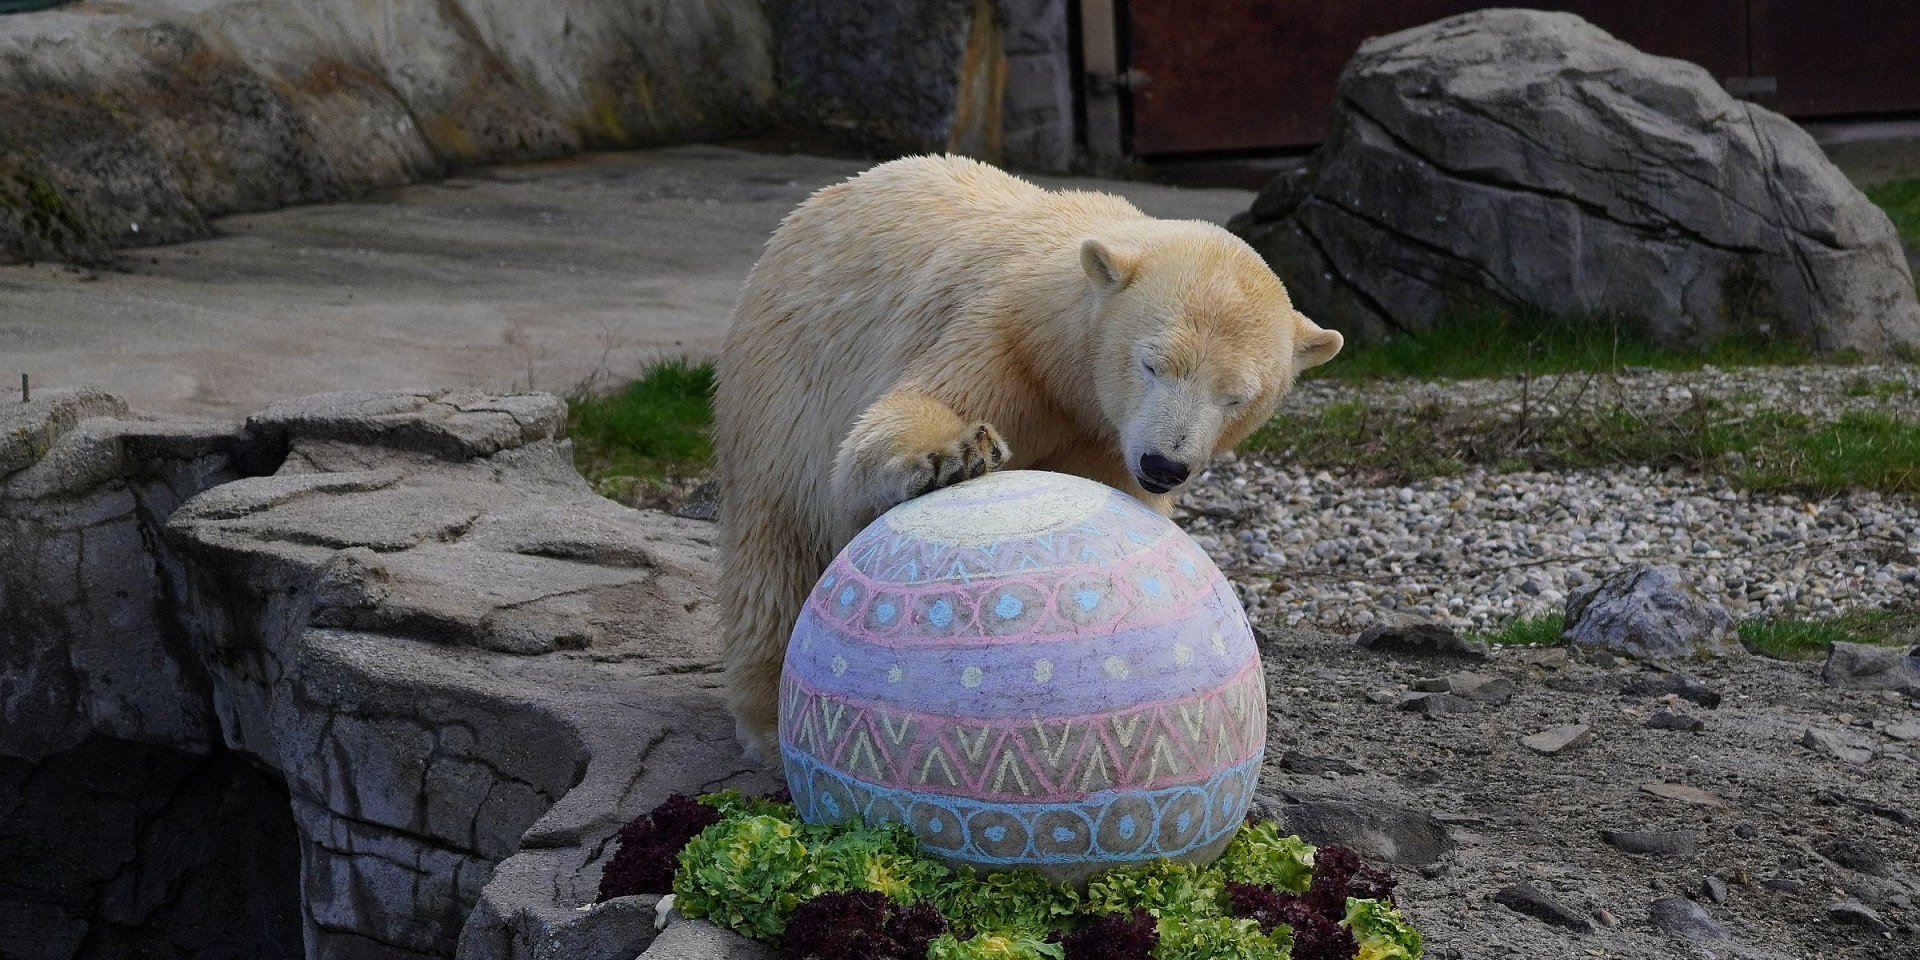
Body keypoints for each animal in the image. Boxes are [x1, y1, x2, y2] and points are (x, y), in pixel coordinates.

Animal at [714, 155, 1344, 756]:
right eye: (1152, 364)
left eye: (1237, 396)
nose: (1164, 466)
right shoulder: (1005, 338)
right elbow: (903, 415)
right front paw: (957, 453)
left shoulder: (1106, 442)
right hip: (783, 383)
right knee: (774, 549)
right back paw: (765, 720)